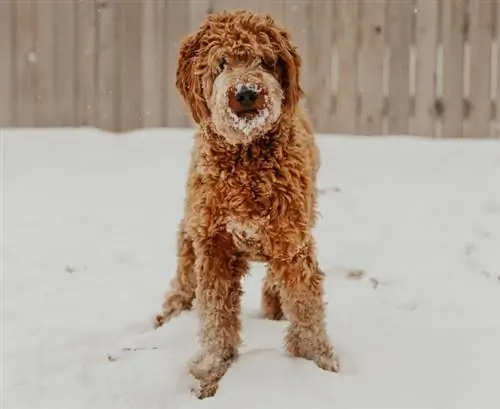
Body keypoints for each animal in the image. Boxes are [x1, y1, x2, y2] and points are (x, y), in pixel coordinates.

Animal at [154, 10, 338, 398]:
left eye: (264, 61)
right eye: (222, 63)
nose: (247, 92)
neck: (246, 159)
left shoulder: (292, 243)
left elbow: (306, 306)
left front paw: (317, 362)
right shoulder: (214, 247)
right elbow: (216, 316)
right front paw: (212, 367)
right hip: (191, 227)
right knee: (184, 272)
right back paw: (171, 312)